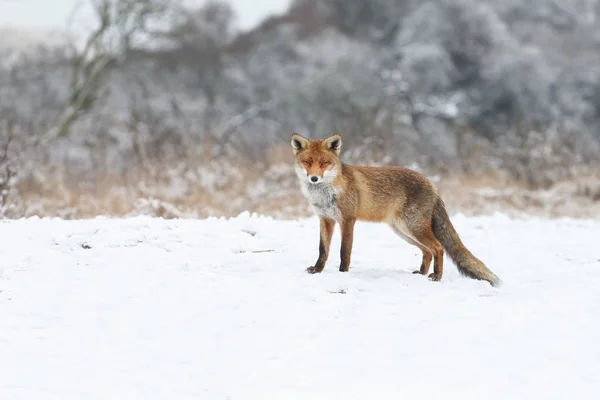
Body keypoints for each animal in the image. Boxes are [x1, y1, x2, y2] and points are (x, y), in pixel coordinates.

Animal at [290, 133, 502, 286]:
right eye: (307, 162)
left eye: (324, 163)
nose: (314, 178)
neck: (326, 193)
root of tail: (432, 185)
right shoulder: (325, 219)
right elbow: (322, 250)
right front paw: (317, 270)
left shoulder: (347, 219)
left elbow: (344, 251)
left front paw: (343, 273)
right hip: (403, 231)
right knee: (427, 251)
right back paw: (422, 273)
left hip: (412, 227)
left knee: (438, 247)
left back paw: (436, 275)